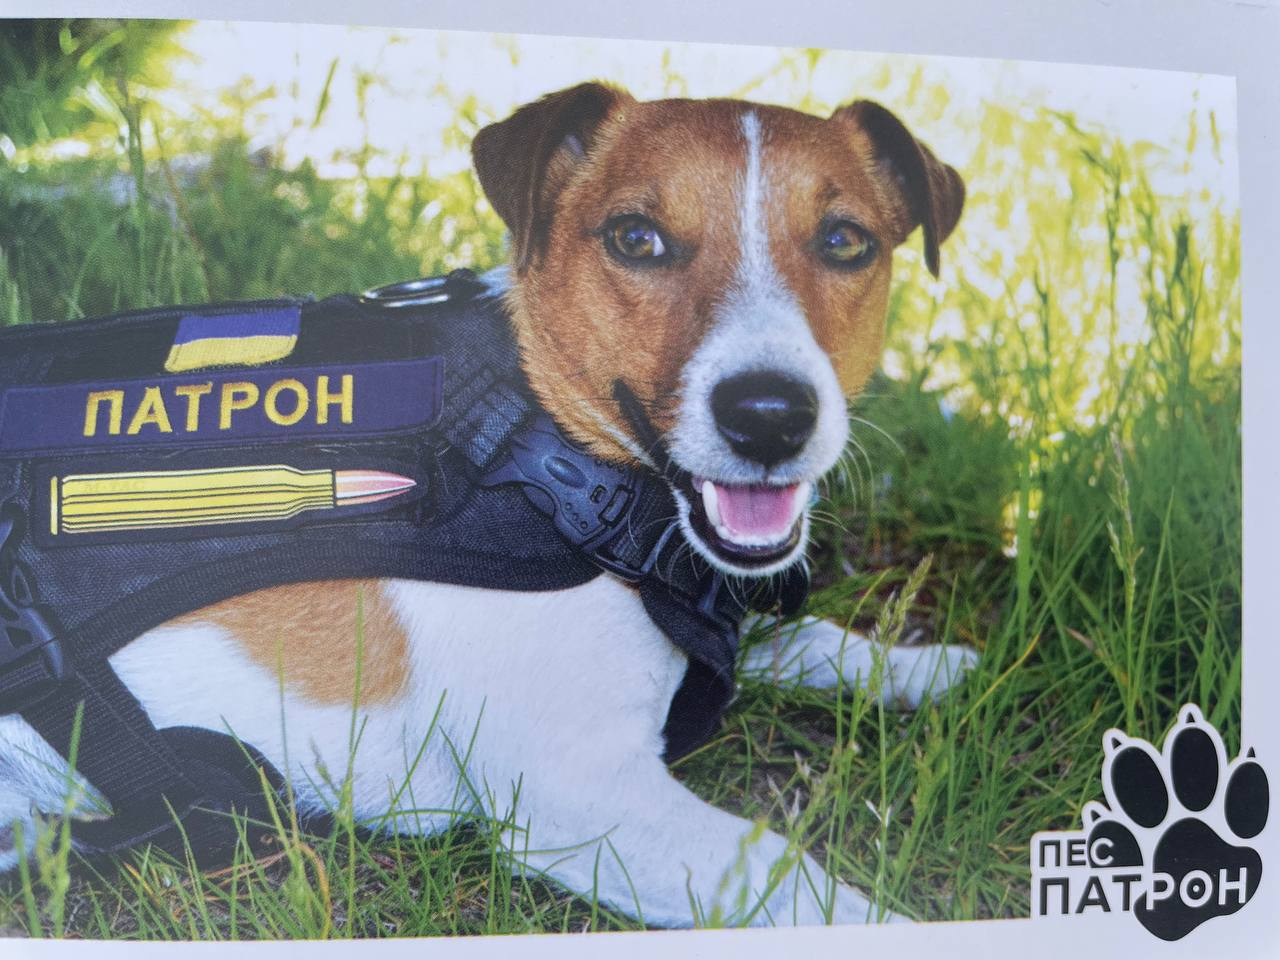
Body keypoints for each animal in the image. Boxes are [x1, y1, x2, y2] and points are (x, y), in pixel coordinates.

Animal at [0, 82, 973, 927]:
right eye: (637, 238)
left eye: (845, 241)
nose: (769, 416)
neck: (543, 455)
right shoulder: (584, 797)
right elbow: (794, 877)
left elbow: (812, 640)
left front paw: (930, 668)